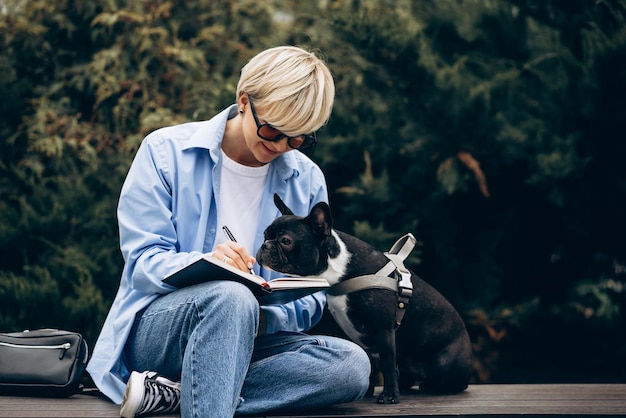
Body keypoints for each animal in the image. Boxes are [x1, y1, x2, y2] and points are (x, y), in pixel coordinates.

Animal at [256, 196, 470, 404]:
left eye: (285, 240)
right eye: (265, 235)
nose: (264, 245)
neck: (338, 269)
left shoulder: (384, 330)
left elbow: (387, 364)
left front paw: (390, 396)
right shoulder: (361, 338)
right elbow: (370, 364)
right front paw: (367, 391)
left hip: (444, 364)